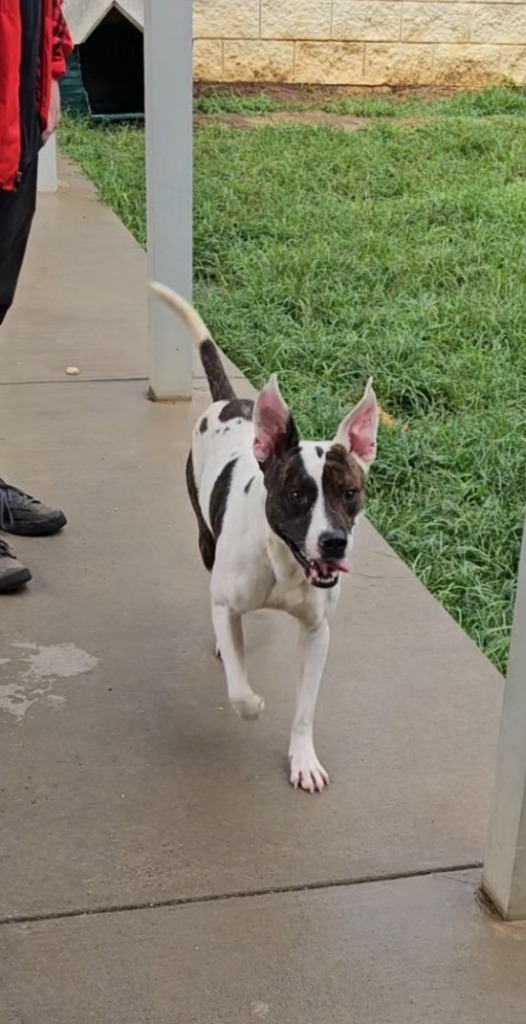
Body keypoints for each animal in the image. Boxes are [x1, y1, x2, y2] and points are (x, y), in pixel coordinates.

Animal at [150, 284, 376, 794]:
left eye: (349, 493)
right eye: (296, 494)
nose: (334, 542)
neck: (285, 564)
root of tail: (231, 401)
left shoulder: (317, 632)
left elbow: (306, 709)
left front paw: (303, 759)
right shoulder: (226, 602)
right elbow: (238, 689)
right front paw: (252, 704)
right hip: (204, 541)